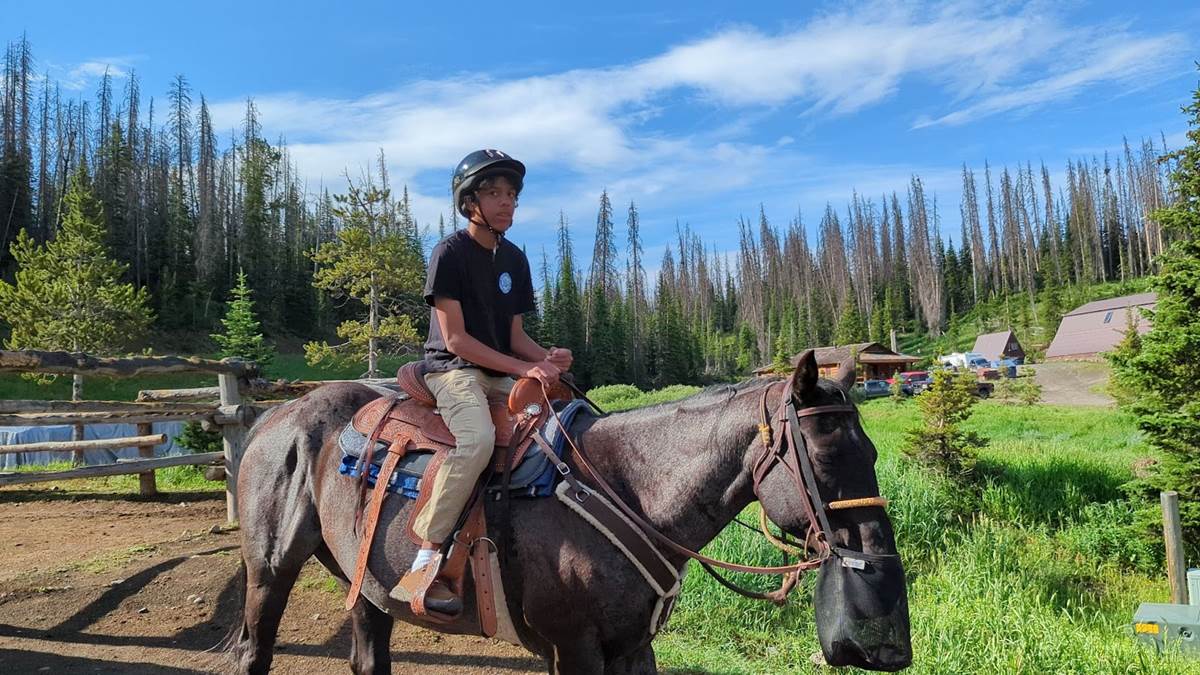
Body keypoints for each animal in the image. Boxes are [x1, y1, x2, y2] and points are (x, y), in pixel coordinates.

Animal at [225, 348, 912, 667]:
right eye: (826, 457)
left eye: (873, 450)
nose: (877, 560)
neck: (628, 489)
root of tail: (274, 416)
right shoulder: (573, 648)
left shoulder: (632, 648)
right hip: (269, 572)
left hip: (368, 588)